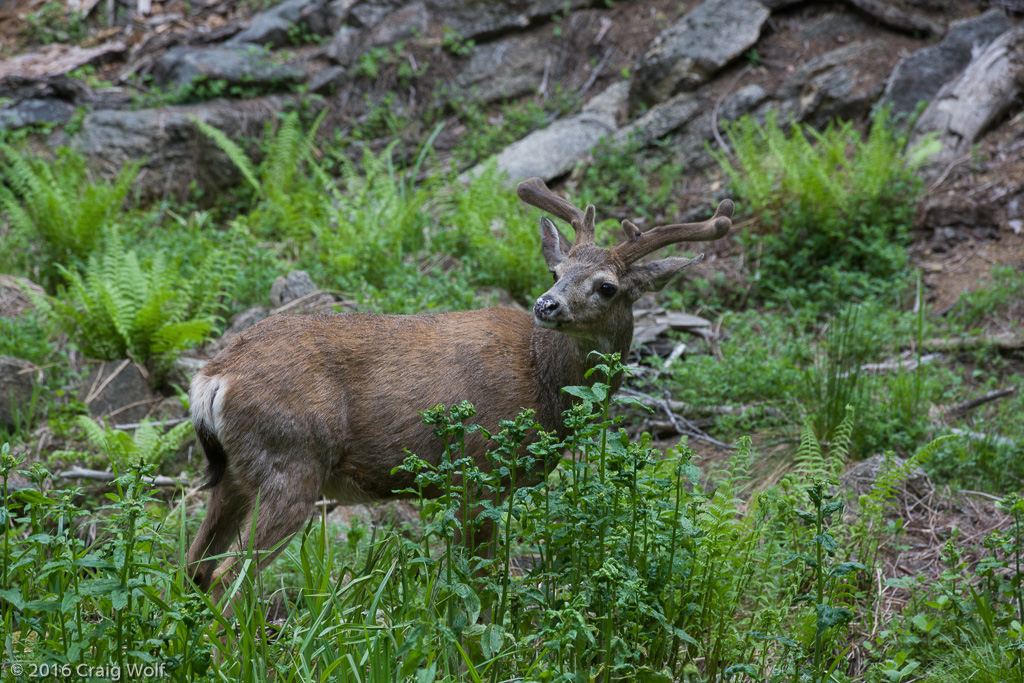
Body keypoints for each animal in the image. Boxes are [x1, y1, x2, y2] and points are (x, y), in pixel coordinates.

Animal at [188, 178, 733, 598]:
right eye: (557, 271)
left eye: (607, 286)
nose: (546, 304)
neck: (542, 380)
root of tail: (212, 378)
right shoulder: (478, 471)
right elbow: (481, 587)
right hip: (293, 464)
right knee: (225, 580)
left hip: (235, 474)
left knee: (194, 568)